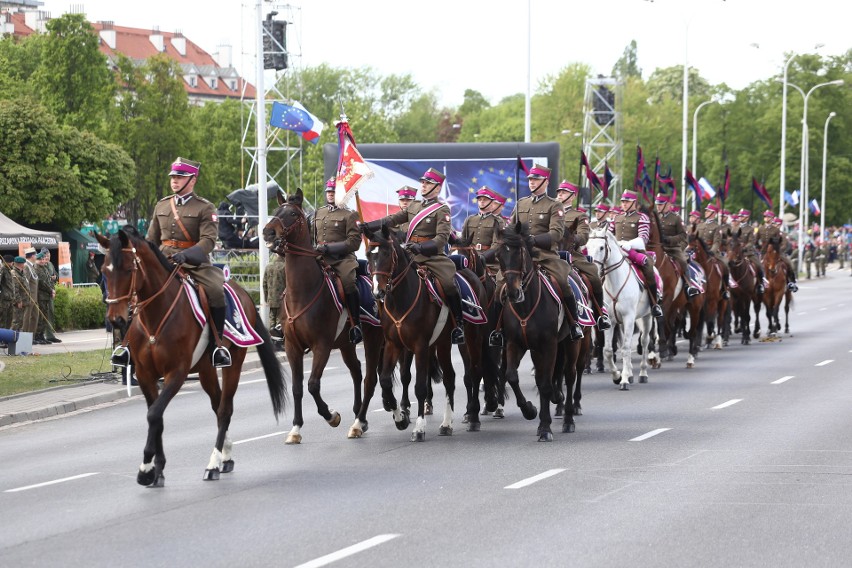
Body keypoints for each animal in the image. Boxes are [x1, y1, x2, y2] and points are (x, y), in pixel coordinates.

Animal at [95, 226, 284, 488]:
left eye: (128, 270)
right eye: (104, 271)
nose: (116, 320)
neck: (156, 317)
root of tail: (244, 293)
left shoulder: (177, 373)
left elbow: (154, 414)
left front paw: (146, 469)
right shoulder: (144, 375)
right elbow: (156, 417)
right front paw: (158, 469)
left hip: (233, 364)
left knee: (224, 410)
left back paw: (213, 464)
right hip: (205, 370)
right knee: (217, 405)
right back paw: (225, 456)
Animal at [262, 191, 384, 444]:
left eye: (292, 214)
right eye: (276, 211)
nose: (268, 232)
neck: (303, 291)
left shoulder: (322, 345)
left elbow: (313, 385)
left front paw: (331, 416)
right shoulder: (292, 347)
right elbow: (297, 387)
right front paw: (295, 428)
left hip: (373, 339)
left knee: (369, 379)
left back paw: (359, 422)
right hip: (347, 344)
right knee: (357, 372)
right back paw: (358, 416)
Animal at [584, 226, 660, 390]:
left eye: (601, 247)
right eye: (587, 247)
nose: (593, 269)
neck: (615, 281)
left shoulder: (629, 317)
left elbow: (625, 348)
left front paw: (623, 380)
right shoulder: (611, 321)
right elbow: (608, 350)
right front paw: (617, 376)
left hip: (646, 317)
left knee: (644, 341)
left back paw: (642, 373)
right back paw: (630, 373)